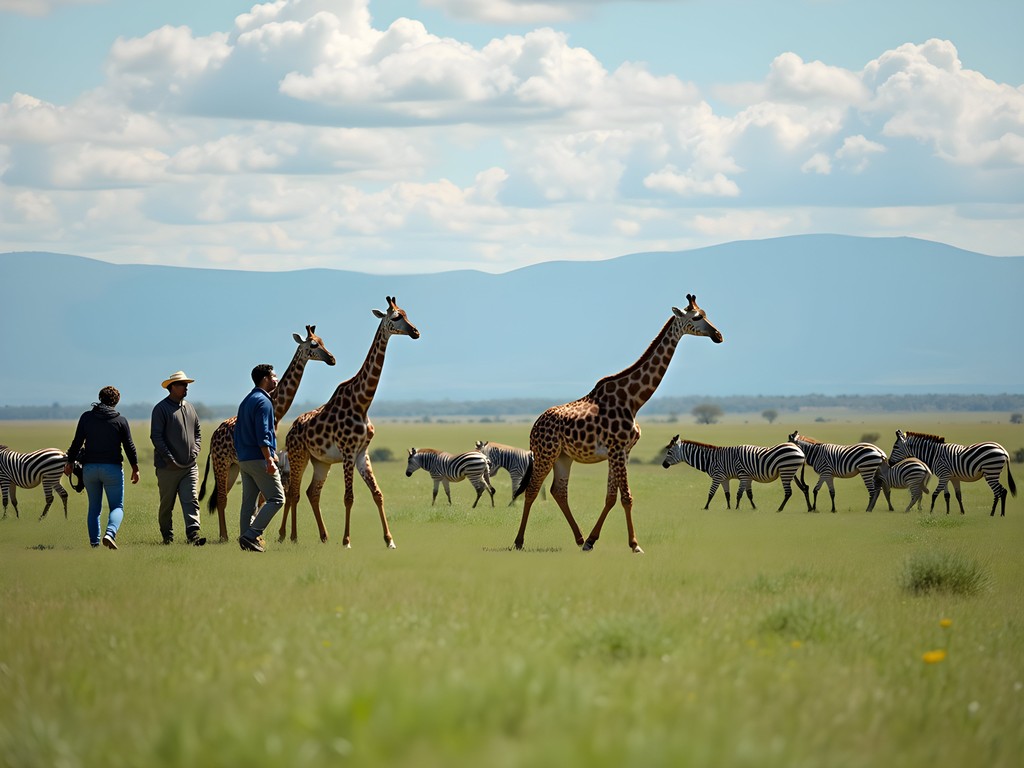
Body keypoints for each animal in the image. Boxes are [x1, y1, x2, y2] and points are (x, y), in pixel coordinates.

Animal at [198, 325, 336, 541]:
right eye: (313, 344)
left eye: (323, 341)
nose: (332, 358)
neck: (277, 412)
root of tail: (213, 437)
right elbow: (263, 499)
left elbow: (260, 500)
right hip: (221, 463)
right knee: (220, 497)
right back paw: (224, 537)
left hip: (233, 466)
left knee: (223, 496)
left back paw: (226, 535)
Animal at [278, 296, 420, 547]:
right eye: (395, 317)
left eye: (406, 313)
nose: (415, 332)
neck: (362, 402)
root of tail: (291, 429)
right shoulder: (347, 451)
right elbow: (349, 497)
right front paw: (346, 540)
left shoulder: (362, 452)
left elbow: (377, 494)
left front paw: (389, 540)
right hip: (298, 455)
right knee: (293, 492)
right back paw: (291, 536)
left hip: (320, 462)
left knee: (311, 492)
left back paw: (323, 536)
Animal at [511, 294, 724, 553]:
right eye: (696, 317)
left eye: (706, 313)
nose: (718, 335)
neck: (633, 400)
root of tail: (534, 426)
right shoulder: (616, 449)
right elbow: (626, 497)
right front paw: (635, 545)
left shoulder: (623, 451)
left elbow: (611, 496)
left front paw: (591, 541)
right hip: (545, 453)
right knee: (532, 489)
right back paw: (519, 541)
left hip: (564, 456)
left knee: (558, 491)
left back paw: (579, 538)